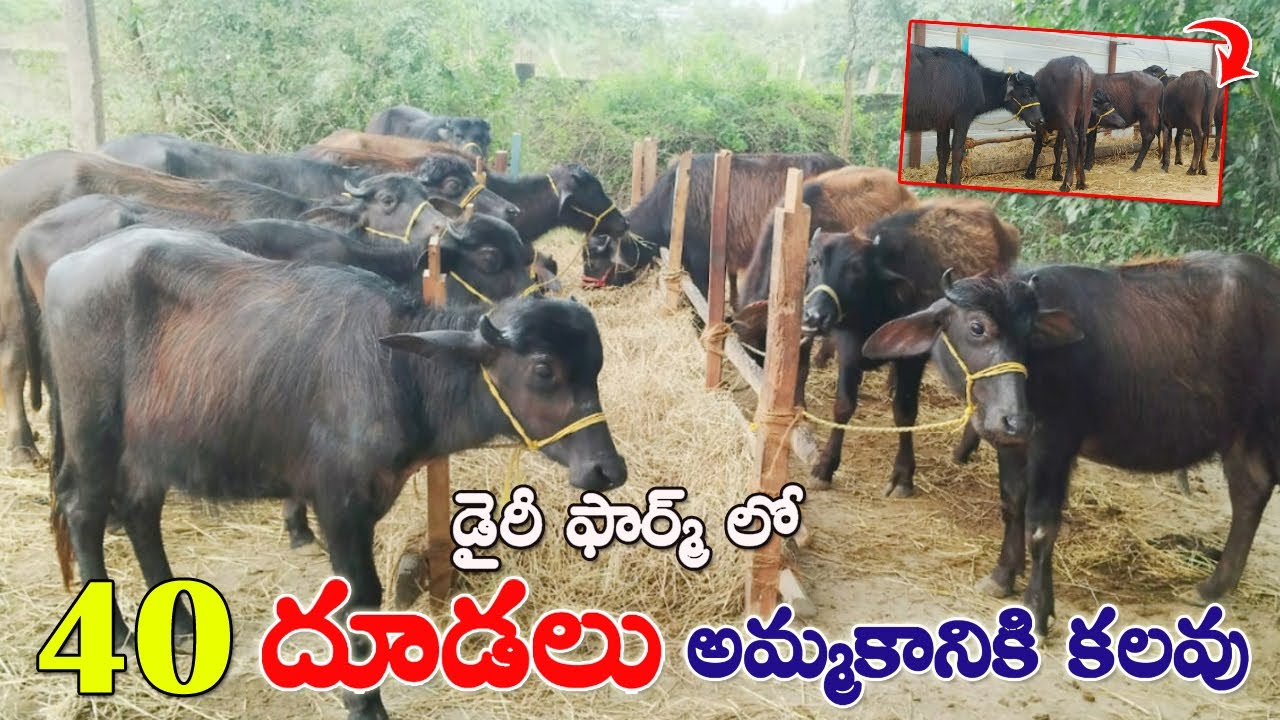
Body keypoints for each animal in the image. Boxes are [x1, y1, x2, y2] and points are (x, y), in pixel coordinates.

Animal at [44, 231, 625, 719]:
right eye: (544, 369)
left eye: (596, 368)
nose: (607, 468)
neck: (397, 371)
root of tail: (66, 268)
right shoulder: (340, 504)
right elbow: (359, 596)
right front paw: (364, 703)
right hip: (93, 432)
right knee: (85, 511)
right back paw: (117, 630)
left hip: (149, 449)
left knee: (141, 511)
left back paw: (180, 622)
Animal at [800, 198, 1020, 493]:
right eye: (814, 260)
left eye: (856, 269)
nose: (815, 316)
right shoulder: (848, 355)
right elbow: (843, 407)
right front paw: (825, 467)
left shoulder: (911, 361)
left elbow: (904, 413)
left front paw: (903, 475)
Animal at [862, 252, 1280, 635]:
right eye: (977, 327)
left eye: (1029, 334)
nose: (1017, 419)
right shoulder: (1010, 444)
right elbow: (1012, 504)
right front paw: (1001, 576)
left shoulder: (1054, 443)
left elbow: (1041, 524)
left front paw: (1037, 608)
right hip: (1239, 433)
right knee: (1251, 490)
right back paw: (1212, 587)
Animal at [904, 45, 1044, 186]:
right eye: (1027, 90)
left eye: (1037, 91)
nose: (1040, 120)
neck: (979, 83)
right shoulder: (962, 120)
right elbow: (957, 152)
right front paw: (956, 182)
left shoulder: (943, 123)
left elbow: (943, 151)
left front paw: (941, 181)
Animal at [1028, 56, 1095, 192]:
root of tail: (1080, 65)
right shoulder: (1061, 127)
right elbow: (1057, 147)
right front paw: (1056, 173)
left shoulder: (1040, 125)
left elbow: (1037, 147)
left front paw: (1030, 172)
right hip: (1085, 113)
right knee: (1082, 140)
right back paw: (1081, 182)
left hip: (1067, 114)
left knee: (1073, 141)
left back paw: (1066, 183)